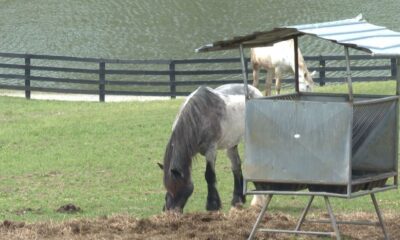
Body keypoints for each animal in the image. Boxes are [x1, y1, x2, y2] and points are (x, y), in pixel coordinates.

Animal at [159, 84, 262, 212]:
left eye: (178, 187)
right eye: (167, 187)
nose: (169, 210)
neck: (198, 115)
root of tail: (256, 90)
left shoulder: (211, 150)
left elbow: (209, 175)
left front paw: (212, 204)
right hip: (232, 143)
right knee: (236, 166)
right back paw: (237, 199)